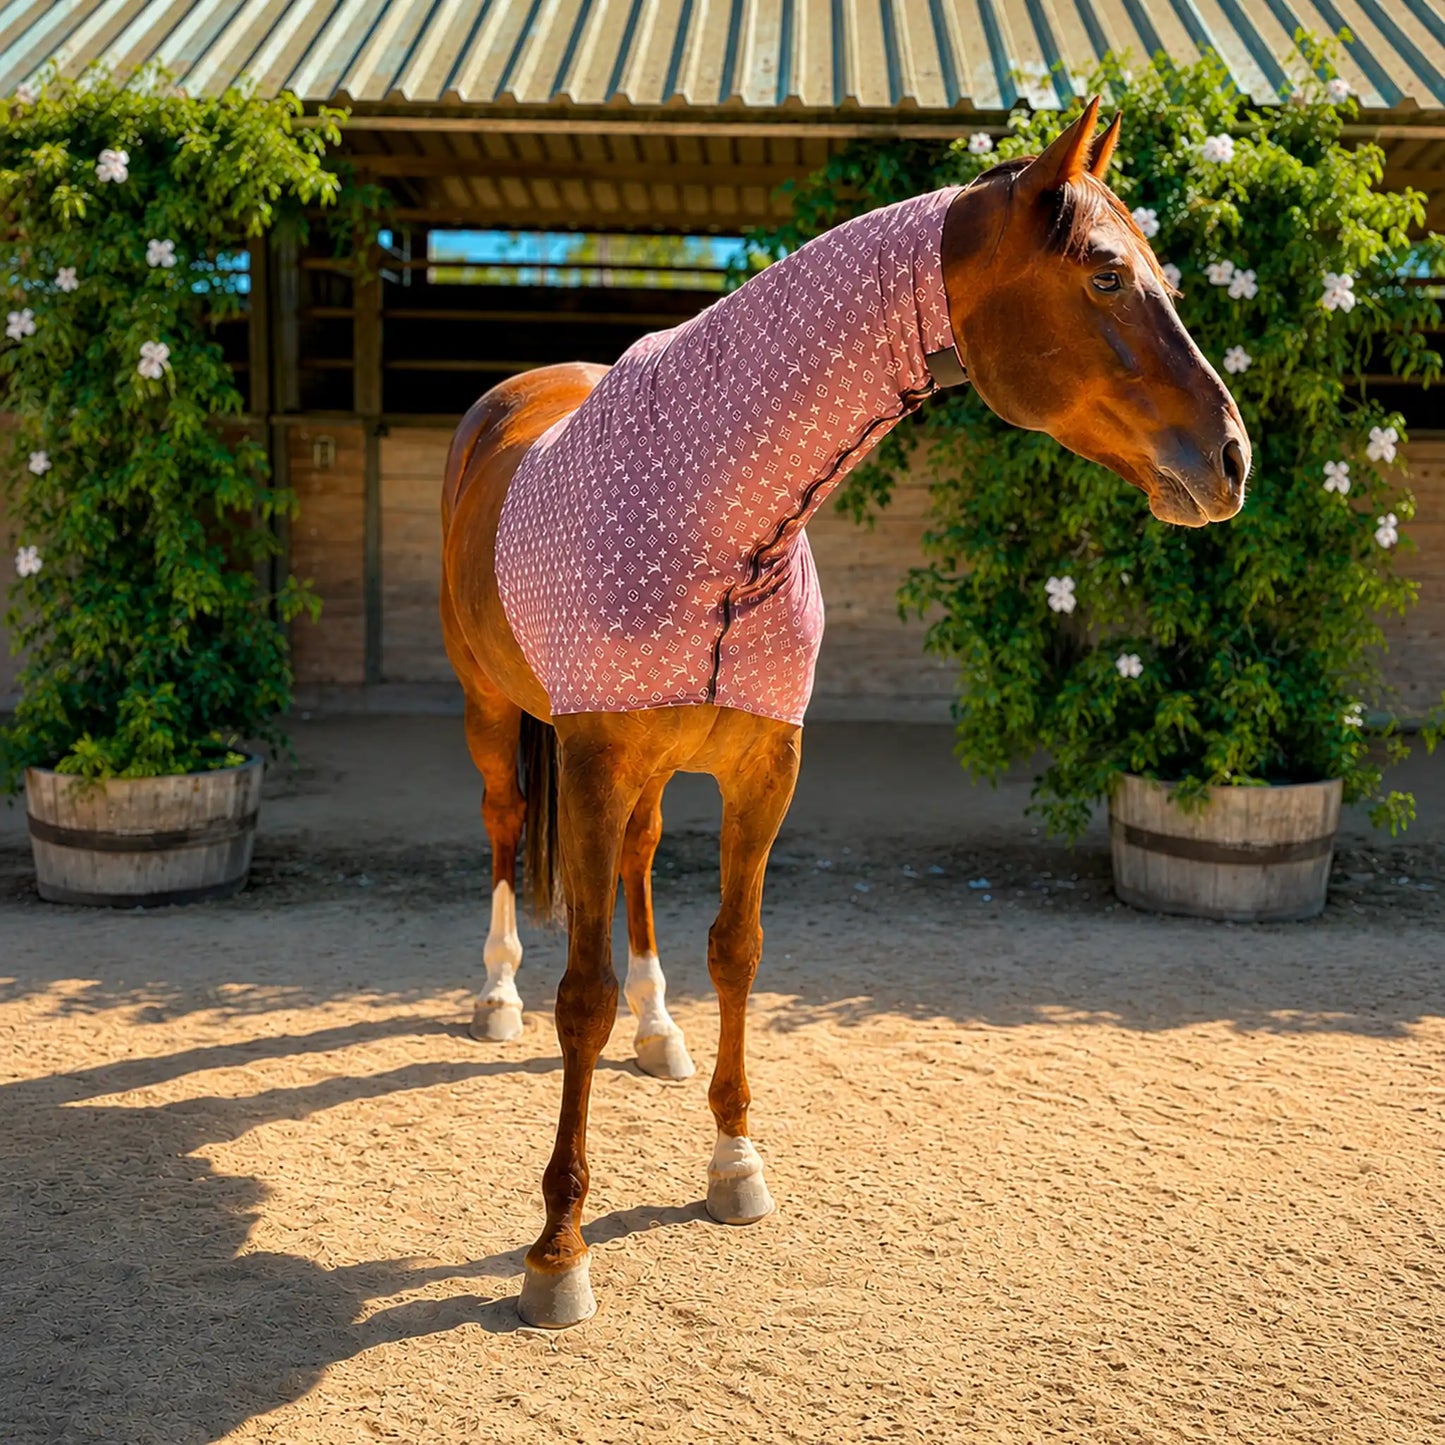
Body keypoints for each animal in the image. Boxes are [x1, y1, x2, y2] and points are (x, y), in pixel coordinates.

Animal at [439, 99, 1251, 1329]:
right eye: (1109, 275)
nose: (1232, 458)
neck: (718, 520)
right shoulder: (585, 762)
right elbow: (578, 995)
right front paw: (556, 1249)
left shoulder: (761, 768)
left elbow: (736, 950)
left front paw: (733, 1163)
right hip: (498, 718)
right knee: (496, 833)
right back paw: (493, 995)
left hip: (644, 773)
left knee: (635, 862)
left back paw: (660, 1028)